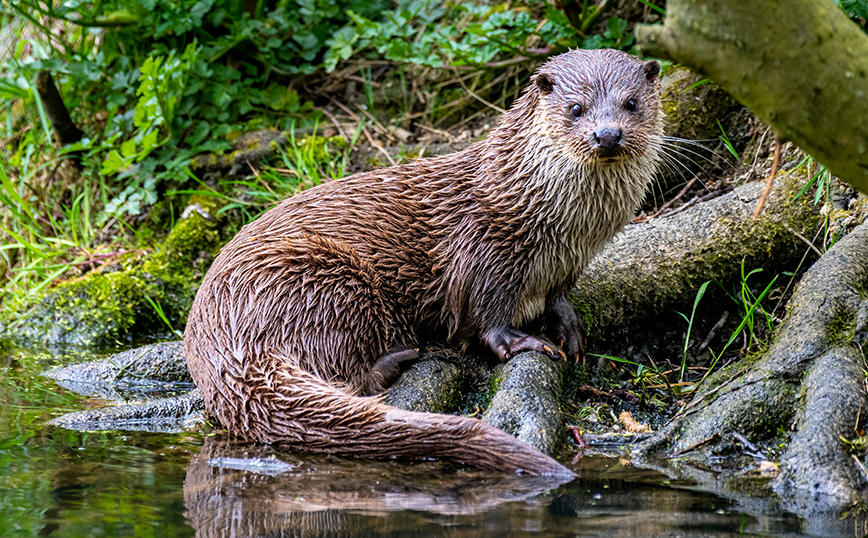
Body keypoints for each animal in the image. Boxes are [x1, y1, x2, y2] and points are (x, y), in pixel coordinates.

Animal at [186, 50, 660, 476]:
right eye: (575, 108)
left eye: (631, 104)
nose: (607, 134)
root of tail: (218, 336)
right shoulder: (485, 248)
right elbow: (485, 317)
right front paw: (522, 341)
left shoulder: (569, 263)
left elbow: (560, 297)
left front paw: (568, 326)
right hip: (325, 279)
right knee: (348, 373)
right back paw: (399, 359)